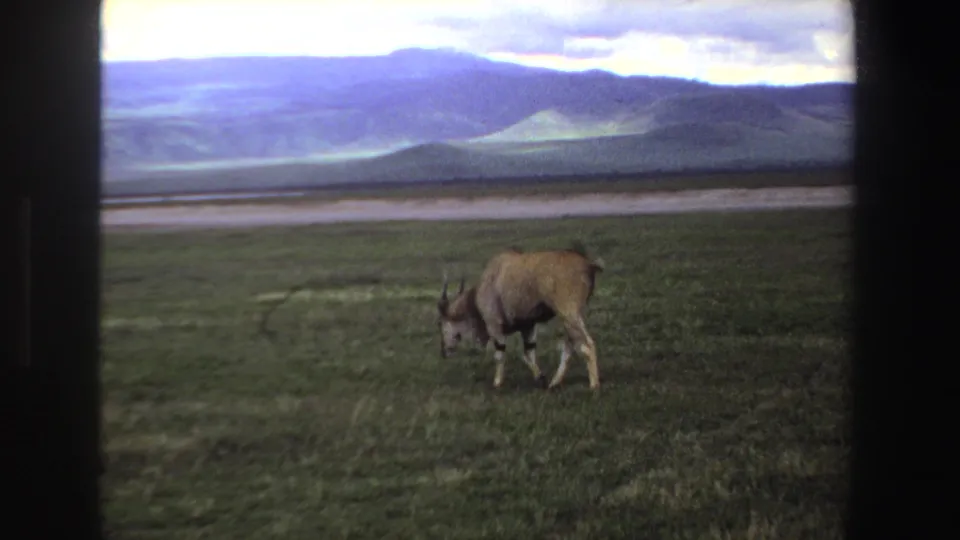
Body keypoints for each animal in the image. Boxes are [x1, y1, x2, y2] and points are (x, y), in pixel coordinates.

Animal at [436, 243, 605, 390]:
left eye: (441, 324)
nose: (444, 351)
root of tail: (588, 264)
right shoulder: (528, 326)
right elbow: (528, 353)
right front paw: (540, 377)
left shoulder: (495, 326)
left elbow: (500, 354)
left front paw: (497, 383)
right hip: (571, 317)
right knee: (570, 345)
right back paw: (554, 383)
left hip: (569, 314)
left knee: (587, 344)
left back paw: (594, 385)